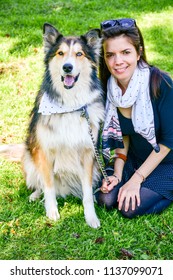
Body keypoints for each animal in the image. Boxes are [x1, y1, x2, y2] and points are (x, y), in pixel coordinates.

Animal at [22, 24, 104, 229]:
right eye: (60, 53)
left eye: (79, 54)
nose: (68, 67)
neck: (70, 105)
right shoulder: (45, 151)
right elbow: (48, 186)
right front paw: (52, 212)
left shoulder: (88, 153)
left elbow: (87, 192)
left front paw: (91, 217)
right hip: (28, 158)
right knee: (39, 183)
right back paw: (34, 195)